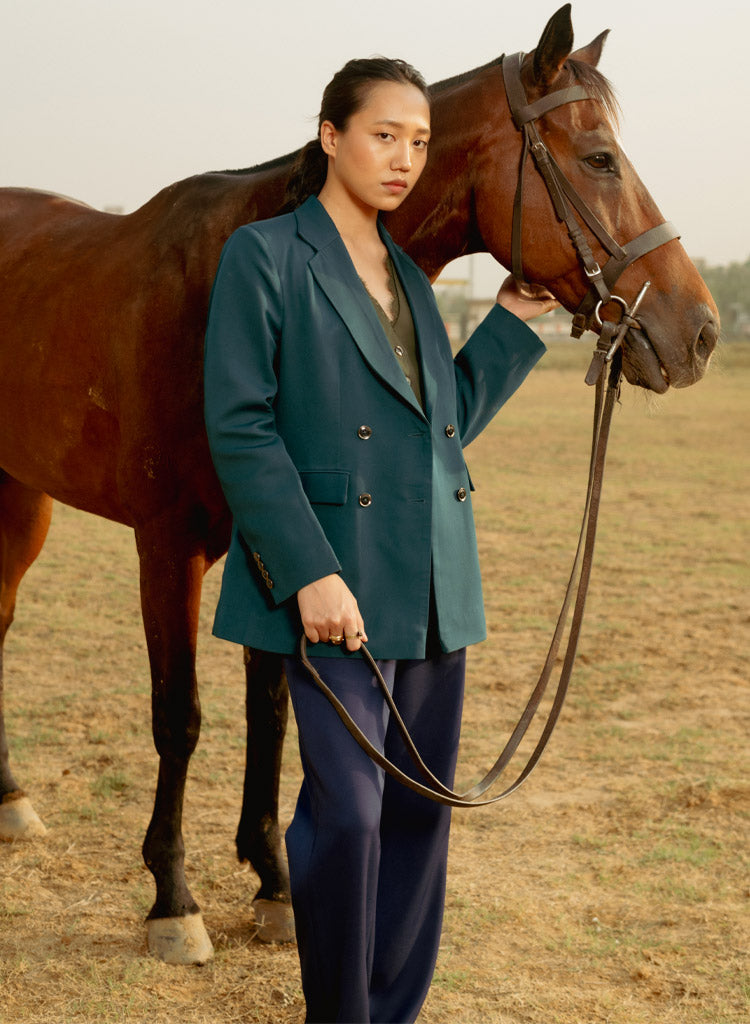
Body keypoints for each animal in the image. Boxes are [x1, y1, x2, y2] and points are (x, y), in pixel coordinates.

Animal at [0, 5, 718, 964]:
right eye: (600, 158)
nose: (700, 330)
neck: (212, 282)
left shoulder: (282, 547)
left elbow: (272, 710)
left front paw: (272, 883)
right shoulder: (169, 545)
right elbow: (180, 715)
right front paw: (174, 901)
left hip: (22, 497)